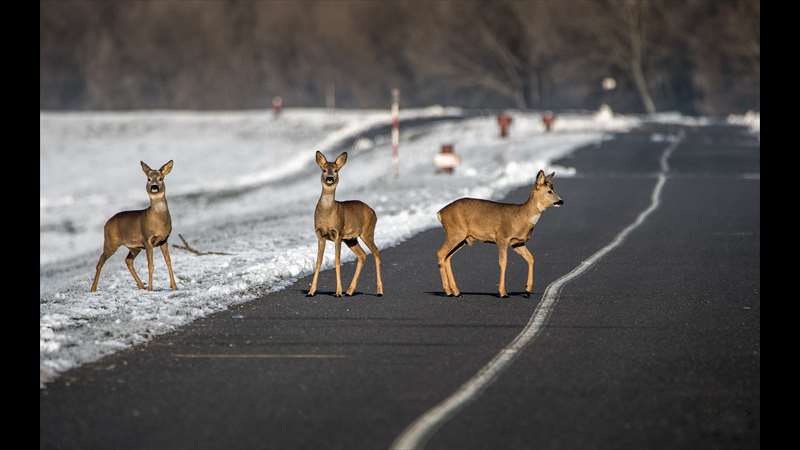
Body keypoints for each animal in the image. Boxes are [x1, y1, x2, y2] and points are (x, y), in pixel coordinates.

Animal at [90, 160, 178, 294]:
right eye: (148, 179)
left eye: (160, 178)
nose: (154, 187)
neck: (158, 220)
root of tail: (106, 223)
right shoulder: (147, 239)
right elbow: (150, 265)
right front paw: (151, 289)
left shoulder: (164, 240)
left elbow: (168, 262)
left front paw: (174, 287)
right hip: (111, 242)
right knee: (100, 261)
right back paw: (93, 289)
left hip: (134, 247)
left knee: (128, 260)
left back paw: (141, 285)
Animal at [306, 152, 384, 298]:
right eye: (324, 170)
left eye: (336, 170)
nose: (330, 178)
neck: (327, 214)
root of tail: (372, 211)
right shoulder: (319, 235)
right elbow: (318, 261)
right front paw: (311, 291)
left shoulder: (338, 233)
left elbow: (337, 261)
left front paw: (338, 292)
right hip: (351, 239)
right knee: (362, 255)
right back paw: (349, 291)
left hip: (367, 232)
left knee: (376, 252)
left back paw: (379, 291)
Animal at [438, 169, 564, 298]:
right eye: (549, 191)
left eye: (553, 188)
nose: (560, 201)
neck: (521, 216)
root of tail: (440, 213)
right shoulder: (502, 237)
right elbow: (503, 262)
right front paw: (503, 292)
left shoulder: (517, 243)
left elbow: (531, 258)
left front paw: (527, 291)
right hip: (455, 232)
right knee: (440, 253)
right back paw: (448, 291)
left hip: (463, 238)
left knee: (447, 257)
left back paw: (456, 292)